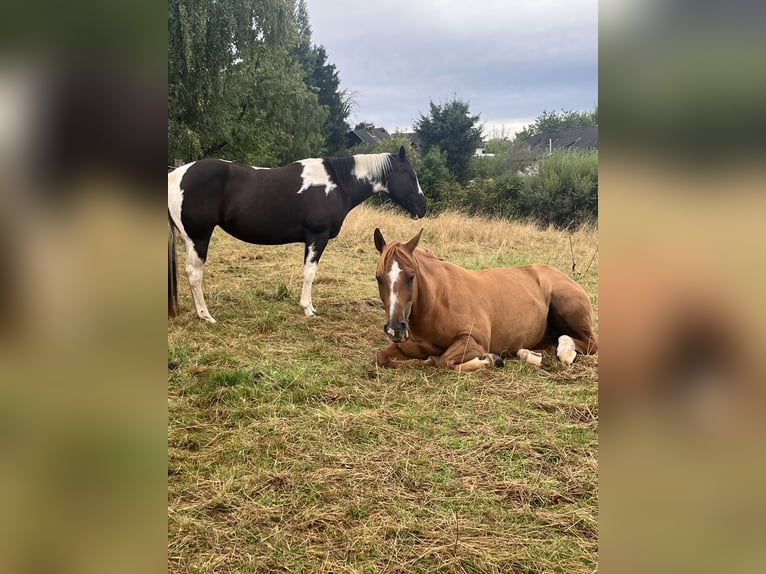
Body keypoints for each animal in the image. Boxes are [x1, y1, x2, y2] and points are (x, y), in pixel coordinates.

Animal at [168, 146, 426, 322]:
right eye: (410, 175)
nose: (423, 207)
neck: (337, 183)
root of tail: (176, 176)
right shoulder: (317, 237)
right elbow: (310, 273)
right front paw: (308, 308)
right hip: (198, 237)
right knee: (194, 273)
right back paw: (205, 316)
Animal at [373, 228, 598, 371]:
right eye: (378, 277)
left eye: (411, 276)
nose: (395, 330)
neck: (436, 305)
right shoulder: (404, 347)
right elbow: (381, 358)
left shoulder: (473, 341)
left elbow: (443, 361)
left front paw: (490, 360)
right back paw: (529, 354)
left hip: (567, 307)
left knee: (588, 344)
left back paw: (566, 350)